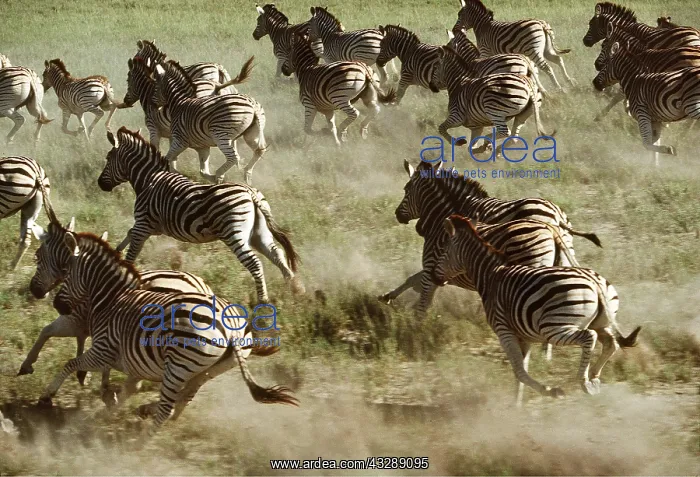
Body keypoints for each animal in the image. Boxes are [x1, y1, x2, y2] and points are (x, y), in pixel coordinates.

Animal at [29, 229, 298, 431]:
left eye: (66, 272)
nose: (57, 304)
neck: (113, 297)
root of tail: (232, 329)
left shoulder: (103, 348)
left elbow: (69, 362)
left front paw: (47, 396)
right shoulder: (131, 358)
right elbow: (128, 387)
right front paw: (108, 405)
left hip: (178, 364)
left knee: (170, 403)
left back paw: (142, 438)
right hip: (208, 369)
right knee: (184, 398)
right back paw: (153, 415)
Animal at [97, 126, 305, 304]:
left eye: (108, 157)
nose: (101, 184)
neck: (149, 179)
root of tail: (249, 192)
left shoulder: (144, 224)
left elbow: (132, 250)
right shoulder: (153, 227)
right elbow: (129, 234)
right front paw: (116, 250)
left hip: (234, 234)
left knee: (255, 263)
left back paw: (264, 300)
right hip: (258, 232)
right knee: (276, 253)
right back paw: (294, 288)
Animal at [431, 214, 641, 405]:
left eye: (443, 251)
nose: (434, 277)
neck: (490, 276)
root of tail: (595, 283)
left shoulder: (503, 330)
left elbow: (519, 370)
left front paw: (550, 392)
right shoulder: (524, 335)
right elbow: (521, 371)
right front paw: (516, 405)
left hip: (554, 328)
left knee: (590, 337)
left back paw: (584, 382)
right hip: (601, 322)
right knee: (611, 343)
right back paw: (595, 378)